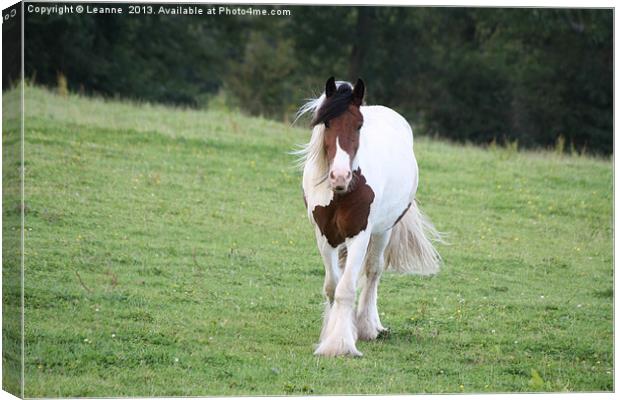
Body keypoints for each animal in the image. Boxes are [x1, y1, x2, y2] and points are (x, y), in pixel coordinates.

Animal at [296, 77, 440, 356]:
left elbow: (346, 288)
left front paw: (340, 344)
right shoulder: (324, 236)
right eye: (326, 122)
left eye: (359, 125)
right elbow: (333, 286)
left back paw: (367, 326)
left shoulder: (360, 235)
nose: (340, 176)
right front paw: (332, 335)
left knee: (373, 271)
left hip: (384, 230)